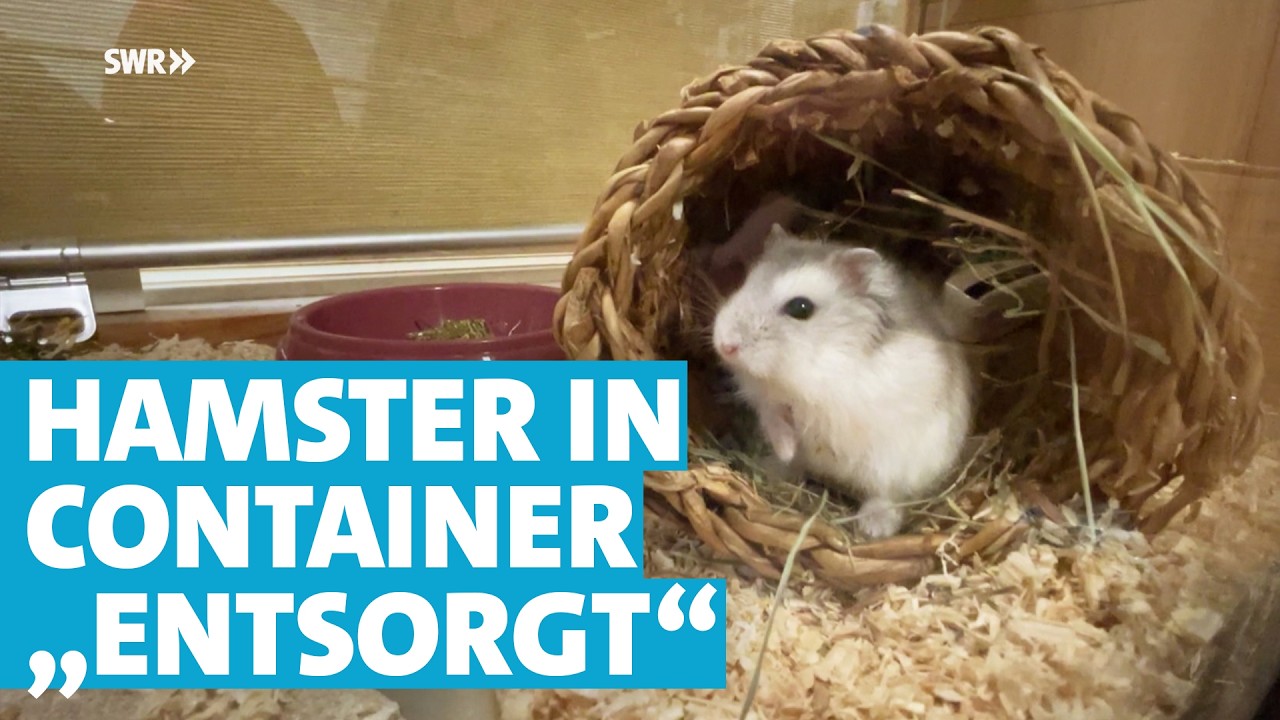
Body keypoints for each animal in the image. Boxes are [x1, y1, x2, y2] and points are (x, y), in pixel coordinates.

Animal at [711, 224, 973, 539]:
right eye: (745, 282)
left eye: (801, 308)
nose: (725, 345)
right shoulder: (766, 399)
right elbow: (775, 417)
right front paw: (785, 451)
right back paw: (770, 468)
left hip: (901, 466)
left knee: (888, 494)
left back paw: (874, 528)